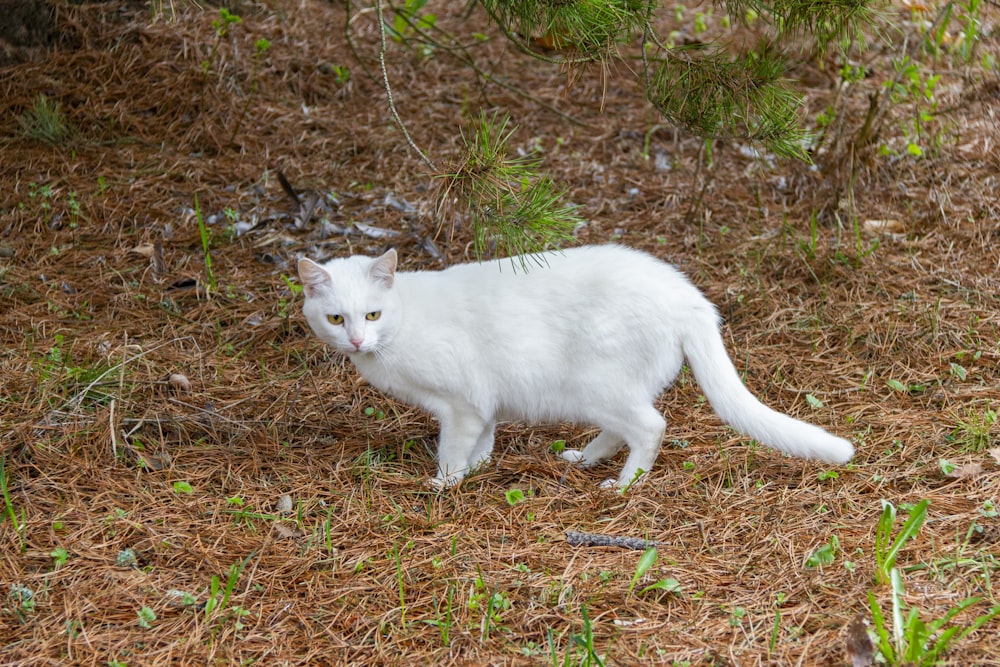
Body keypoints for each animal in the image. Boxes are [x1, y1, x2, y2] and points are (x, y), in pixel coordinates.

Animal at [296, 245, 852, 490]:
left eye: (372, 315)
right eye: (335, 318)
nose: (356, 339)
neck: (401, 325)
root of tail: (688, 295)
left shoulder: (460, 405)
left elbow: (453, 450)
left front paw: (446, 483)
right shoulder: (483, 403)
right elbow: (485, 442)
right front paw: (478, 469)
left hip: (594, 386)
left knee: (650, 427)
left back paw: (623, 485)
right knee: (623, 429)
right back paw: (584, 460)